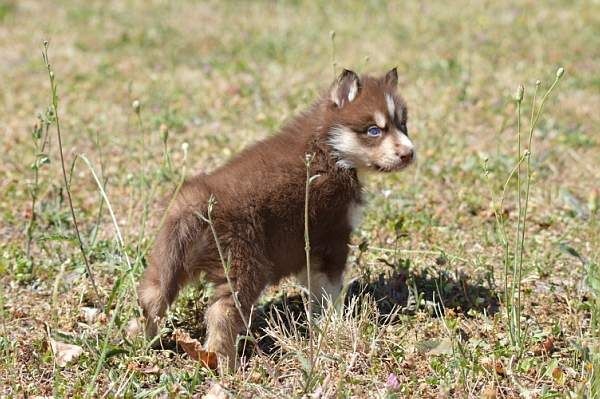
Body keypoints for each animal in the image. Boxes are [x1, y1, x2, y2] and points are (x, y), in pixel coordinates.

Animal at [138, 68, 414, 368]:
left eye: (403, 124)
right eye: (374, 130)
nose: (409, 153)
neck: (330, 147)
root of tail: (196, 200)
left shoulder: (309, 247)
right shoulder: (332, 236)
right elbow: (329, 291)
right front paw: (334, 324)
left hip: (168, 259)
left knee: (151, 296)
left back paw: (140, 341)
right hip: (245, 263)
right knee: (222, 312)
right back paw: (224, 365)